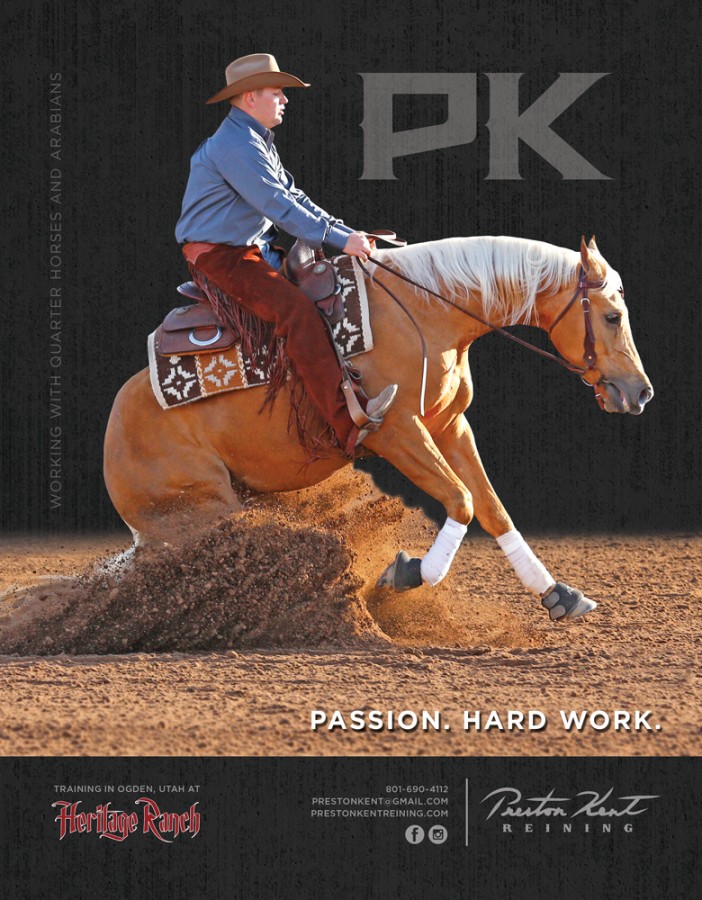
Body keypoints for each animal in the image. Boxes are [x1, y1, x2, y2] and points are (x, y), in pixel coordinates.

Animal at [103, 235, 653, 621]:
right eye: (612, 316)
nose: (641, 392)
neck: (429, 312)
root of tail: (113, 437)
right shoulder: (397, 433)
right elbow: (461, 500)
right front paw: (406, 572)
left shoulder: (450, 426)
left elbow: (492, 508)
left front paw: (557, 593)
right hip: (203, 508)